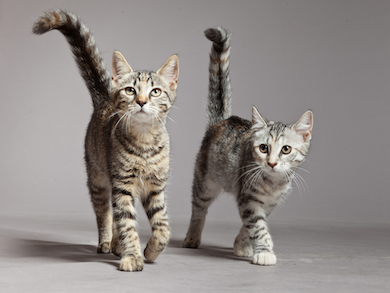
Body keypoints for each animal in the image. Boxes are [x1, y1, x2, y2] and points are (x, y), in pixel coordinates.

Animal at [32, 9, 179, 270]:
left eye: (155, 92)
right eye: (130, 90)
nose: (142, 101)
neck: (144, 143)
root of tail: (104, 98)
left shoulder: (155, 187)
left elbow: (163, 226)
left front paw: (151, 251)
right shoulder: (123, 184)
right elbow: (127, 223)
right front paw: (132, 256)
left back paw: (117, 245)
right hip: (98, 178)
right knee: (105, 213)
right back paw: (107, 242)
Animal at [183, 27, 314, 264]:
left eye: (286, 149)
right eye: (263, 148)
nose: (271, 163)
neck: (273, 184)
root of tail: (221, 120)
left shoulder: (268, 204)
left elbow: (250, 225)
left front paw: (242, 245)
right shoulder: (248, 198)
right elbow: (258, 227)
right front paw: (265, 252)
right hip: (204, 182)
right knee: (198, 210)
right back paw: (192, 237)